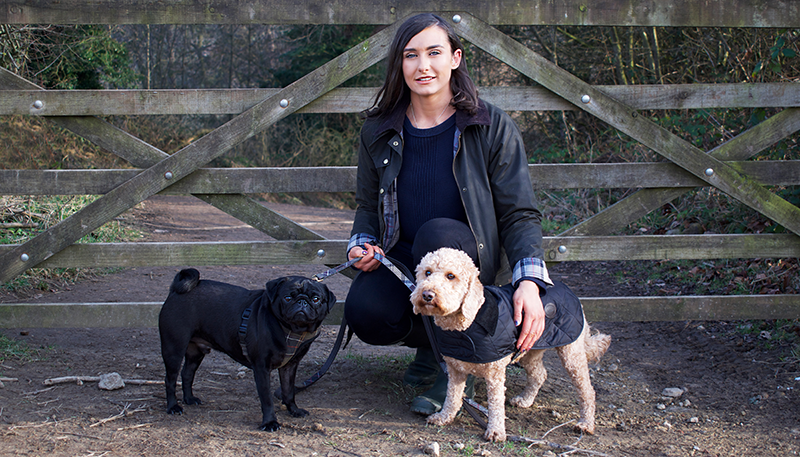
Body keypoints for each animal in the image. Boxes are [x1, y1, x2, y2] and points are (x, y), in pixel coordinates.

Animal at [412, 248, 612, 440]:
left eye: (451, 276)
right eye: (427, 272)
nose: (427, 294)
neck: (465, 325)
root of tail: (567, 289)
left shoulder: (494, 374)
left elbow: (495, 404)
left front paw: (495, 431)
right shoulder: (455, 370)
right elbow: (452, 397)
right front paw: (444, 417)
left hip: (571, 354)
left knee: (587, 390)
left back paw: (586, 423)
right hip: (529, 350)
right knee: (539, 374)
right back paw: (526, 400)